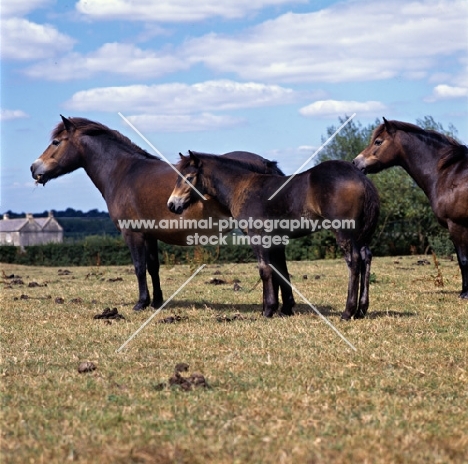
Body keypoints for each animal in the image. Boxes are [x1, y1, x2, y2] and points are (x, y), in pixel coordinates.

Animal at [29, 116, 292, 312]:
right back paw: (285, 307)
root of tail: (265, 164)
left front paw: (141, 303)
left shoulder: (132, 233)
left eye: (56, 142)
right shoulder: (150, 234)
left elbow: (138, 267)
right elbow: (153, 267)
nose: (34, 167)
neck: (122, 172)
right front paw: (156, 302)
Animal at [168, 152, 380, 320]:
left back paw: (348, 311)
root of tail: (360, 177)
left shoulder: (257, 236)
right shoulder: (274, 239)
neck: (240, 187)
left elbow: (265, 270)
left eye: (189, 176)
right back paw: (361, 310)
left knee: (354, 260)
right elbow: (278, 271)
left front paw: (268, 310)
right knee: (365, 258)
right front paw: (279, 309)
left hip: (344, 231)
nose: (172, 204)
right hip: (360, 236)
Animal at [354, 118, 468, 298]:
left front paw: (465, 293)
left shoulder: (457, 225)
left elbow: (463, 259)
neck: (449, 173)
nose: (355, 162)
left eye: (378, 141)